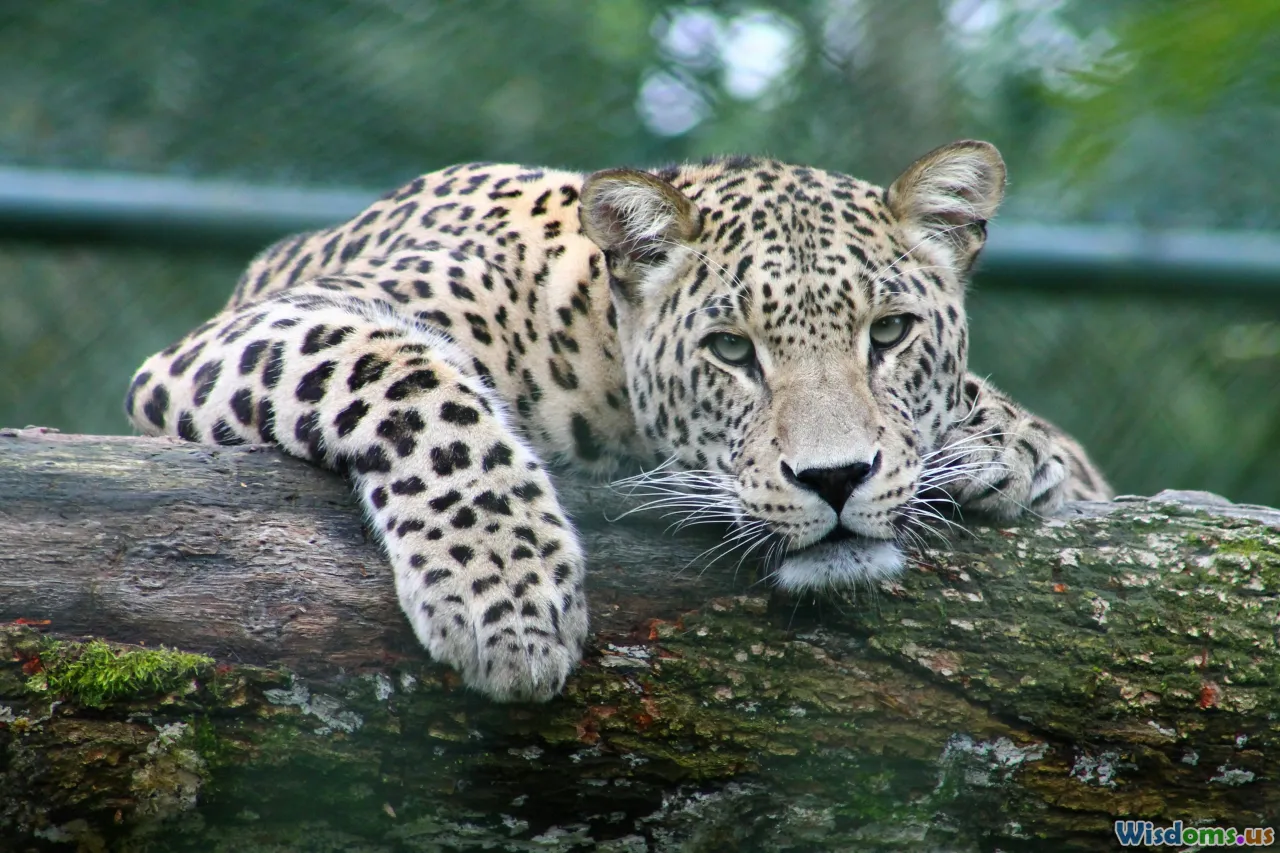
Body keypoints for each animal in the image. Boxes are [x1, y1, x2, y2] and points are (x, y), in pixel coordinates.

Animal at [125, 139, 1111, 703]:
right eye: (730, 350)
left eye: (892, 333)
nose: (834, 479)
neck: (593, 344)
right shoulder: (245, 334)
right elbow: (411, 378)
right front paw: (507, 595)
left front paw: (1010, 444)